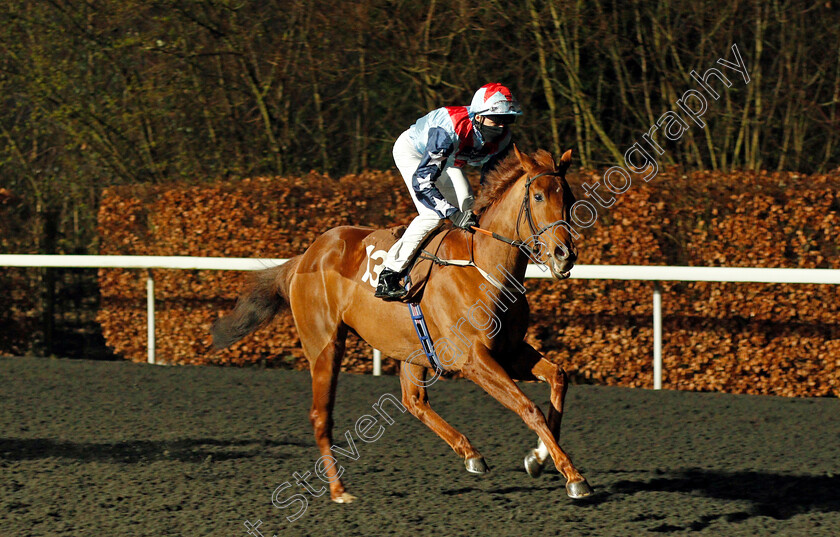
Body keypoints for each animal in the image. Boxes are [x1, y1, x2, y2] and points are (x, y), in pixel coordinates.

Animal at [210, 146, 592, 502]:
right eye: (538, 195)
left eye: (568, 196)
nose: (565, 254)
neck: (483, 265)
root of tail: (306, 256)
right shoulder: (474, 359)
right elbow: (528, 407)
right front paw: (575, 478)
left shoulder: (509, 350)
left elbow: (558, 379)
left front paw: (538, 459)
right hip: (325, 345)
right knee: (322, 415)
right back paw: (338, 490)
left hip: (411, 350)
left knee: (413, 400)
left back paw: (470, 454)